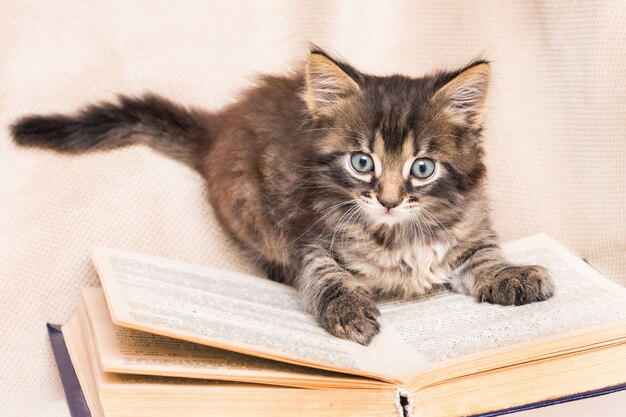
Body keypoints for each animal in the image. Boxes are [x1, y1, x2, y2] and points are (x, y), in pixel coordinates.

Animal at [12, 48, 552, 344]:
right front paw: (348, 310)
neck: (398, 234)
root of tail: (221, 126)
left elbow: (483, 255)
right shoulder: (308, 238)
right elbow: (325, 277)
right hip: (249, 208)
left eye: (422, 168)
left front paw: (513, 274)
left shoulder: (468, 228)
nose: (388, 199)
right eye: (363, 163)